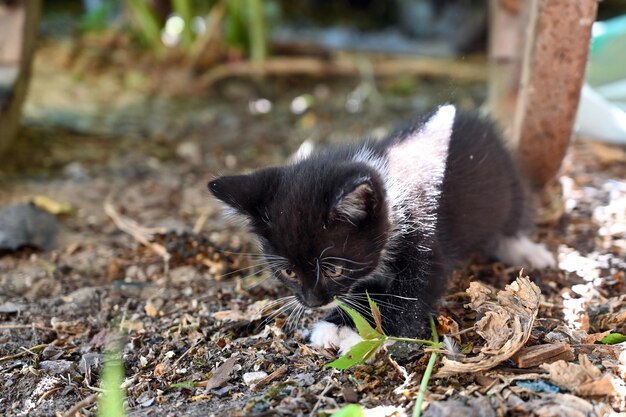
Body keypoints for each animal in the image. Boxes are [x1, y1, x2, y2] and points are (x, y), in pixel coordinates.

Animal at [207, 105, 552, 352]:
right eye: (288, 272)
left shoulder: (427, 238)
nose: (313, 302)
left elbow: (411, 292)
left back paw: (524, 249)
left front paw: (365, 333)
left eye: (333, 270)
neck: (390, 191)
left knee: (513, 214)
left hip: (507, 178)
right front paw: (340, 323)